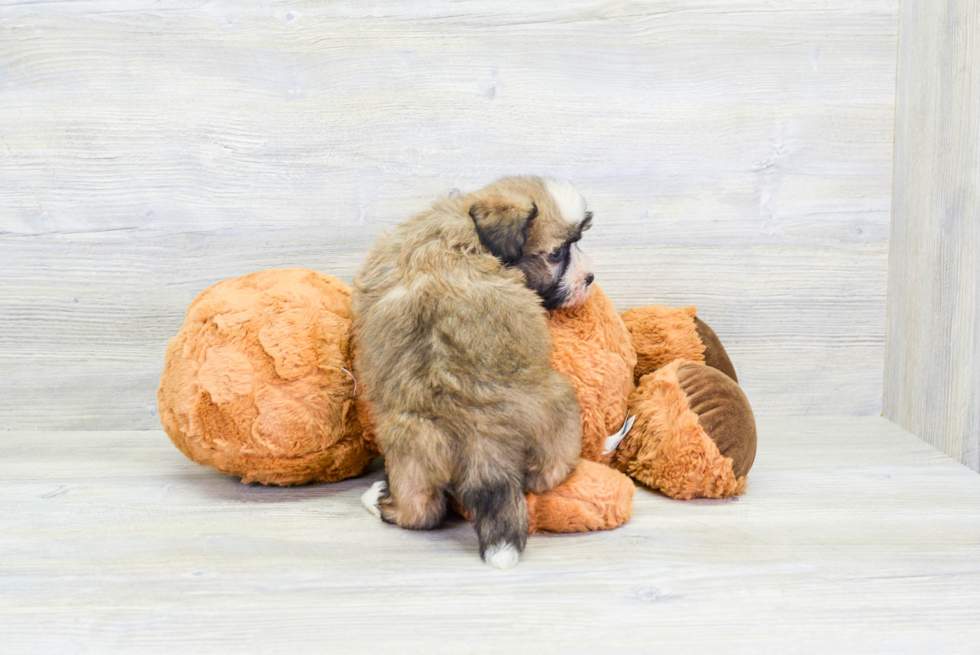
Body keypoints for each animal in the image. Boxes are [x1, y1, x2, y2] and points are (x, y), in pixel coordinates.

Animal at [354, 176, 592, 568]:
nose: (590, 277)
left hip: (408, 445)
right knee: (547, 473)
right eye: (557, 254)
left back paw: (381, 503)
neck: (467, 224)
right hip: (563, 402)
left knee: (420, 511)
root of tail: (480, 424)